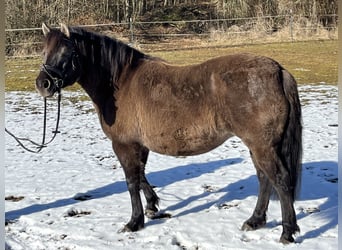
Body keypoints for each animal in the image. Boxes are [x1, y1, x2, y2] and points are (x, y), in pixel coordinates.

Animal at [35, 23, 302, 244]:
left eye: (67, 53)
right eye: (44, 51)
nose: (43, 84)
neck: (120, 82)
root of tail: (278, 70)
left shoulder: (124, 145)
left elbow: (131, 181)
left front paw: (134, 222)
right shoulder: (139, 145)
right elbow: (141, 175)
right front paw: (152, 206)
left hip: (262, 146)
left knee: (280, 180)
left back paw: (287, 232)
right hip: (257, 146)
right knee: (264, 179)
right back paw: (255, 221)